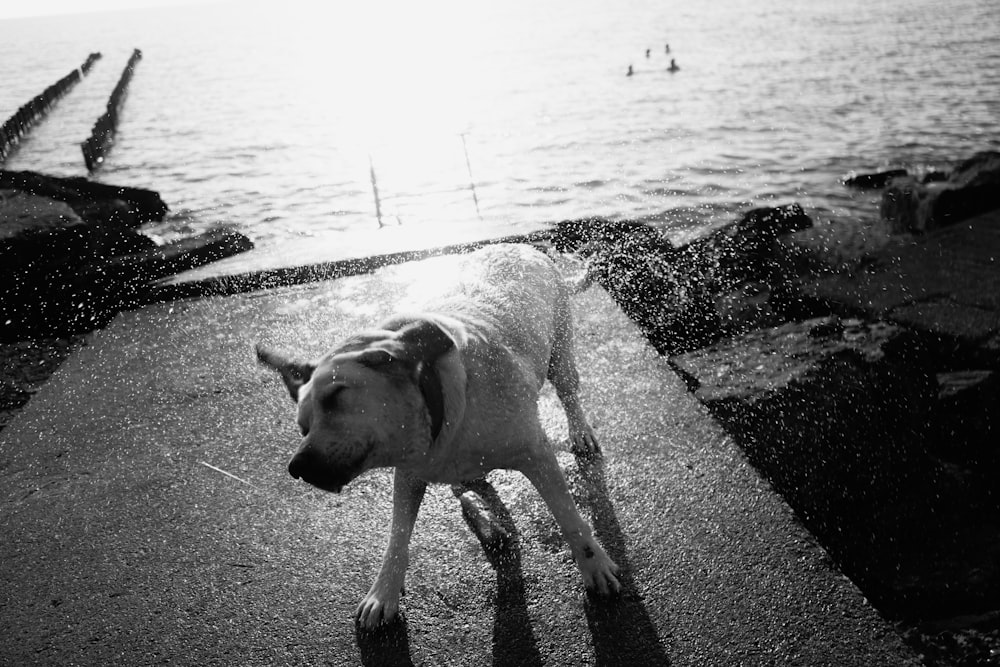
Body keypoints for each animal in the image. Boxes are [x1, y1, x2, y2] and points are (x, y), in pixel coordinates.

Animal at [254, 243, 620, 628]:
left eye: (336, 395)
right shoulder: (409, 475)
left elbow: (569, 518)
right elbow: (397, 537)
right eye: (302, 425)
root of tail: (520, 246)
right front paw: (383, 593)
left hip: (560, 354)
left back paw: (580, 432)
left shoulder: (536, 455)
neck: (446, 412)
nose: (297, 466)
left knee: (569, 393)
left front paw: (594, 566)